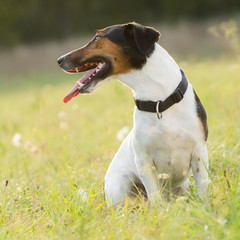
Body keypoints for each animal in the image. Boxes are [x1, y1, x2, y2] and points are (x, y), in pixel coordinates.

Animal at [57, 22, 208, 206]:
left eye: (97, 37)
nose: (59, 60)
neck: (159, 103)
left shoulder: (199, 152)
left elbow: (203, 187)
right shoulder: (144, 161)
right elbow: (155, 198)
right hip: (122, 185)